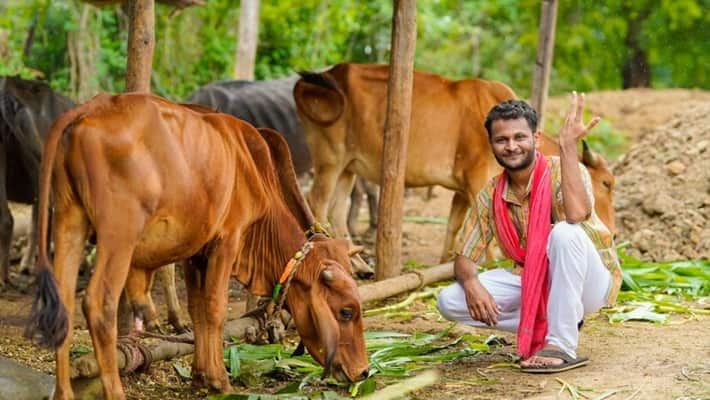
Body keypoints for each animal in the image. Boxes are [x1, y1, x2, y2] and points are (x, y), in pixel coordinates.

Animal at [25, 93, 370, 396]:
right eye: (346, 312)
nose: (364, 372)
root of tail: (92, 106)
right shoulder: (228, 240)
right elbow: (215, 308)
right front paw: (219, 380)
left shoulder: (196, 252)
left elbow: (197, 309)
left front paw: (200, 374)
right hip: (118, 234)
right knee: (99, 304)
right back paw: (116, 392)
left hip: (69, 221)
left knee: (65, 304)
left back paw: (63, 393)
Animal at [294, 62, 616, 262]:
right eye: (606, 183)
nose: (612, 233)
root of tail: (330, 73)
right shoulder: (475, 179)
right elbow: (486, 228)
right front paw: (493, 261)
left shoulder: (463, 189)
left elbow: (453, 225)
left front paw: (445, 259)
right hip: (330, 160)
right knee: (317, 202)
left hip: (348, 167)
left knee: (337, 210)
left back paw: (358, 261)